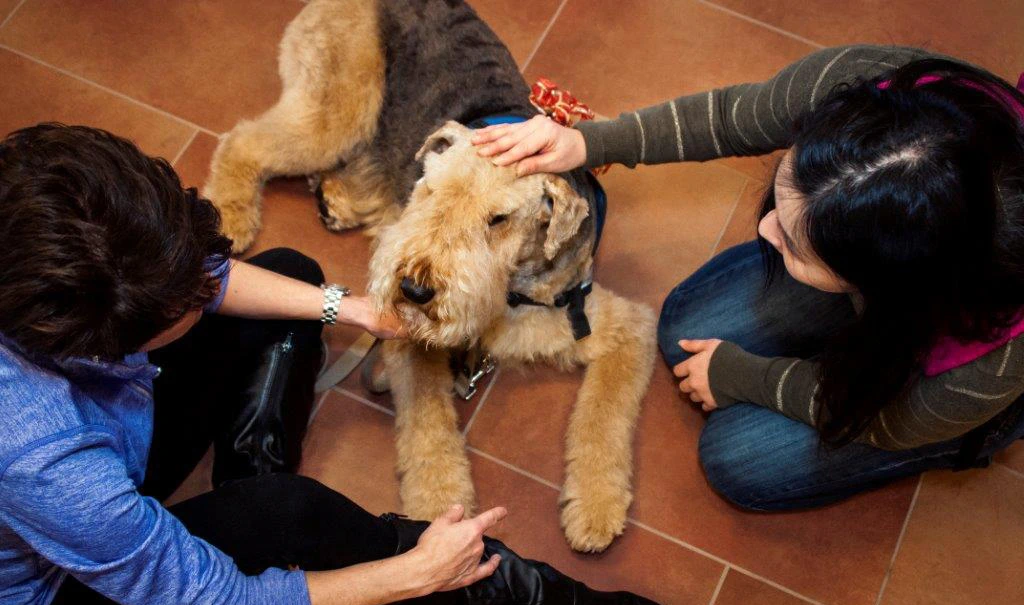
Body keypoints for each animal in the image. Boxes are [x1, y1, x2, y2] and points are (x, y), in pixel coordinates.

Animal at [204, 0, 655, 552]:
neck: (510, 293)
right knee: (245, 140)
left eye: (498, 219)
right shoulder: (406, 341)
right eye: (431, 188)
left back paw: (337, 200)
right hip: (338, 112)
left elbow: (604, 415)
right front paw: (442, 519)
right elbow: (429, 431)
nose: (414, 289)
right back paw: (230, 217)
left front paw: (594, 509)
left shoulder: (622, 326)